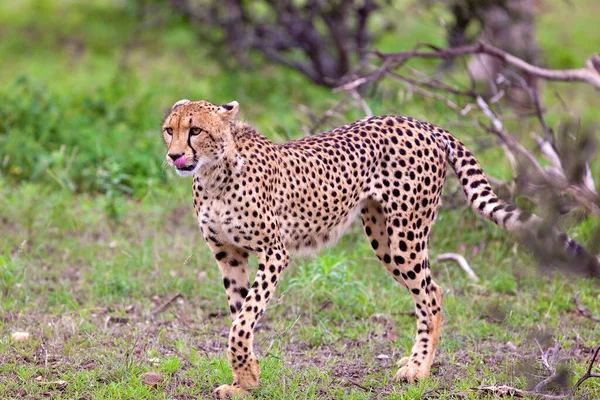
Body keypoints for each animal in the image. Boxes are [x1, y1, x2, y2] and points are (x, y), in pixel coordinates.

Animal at [162, 98, 596, 398]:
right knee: (431, 292)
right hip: (383, 238)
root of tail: (420, 122)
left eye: (195, 131)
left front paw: (246, 375)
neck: (213, 174)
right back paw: (415, 359)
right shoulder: (228, 254)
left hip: (406, 236)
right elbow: (239, 317)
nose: (174, 155)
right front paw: (245, 379)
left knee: (432, 294)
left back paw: (418, 370)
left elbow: (242, 321)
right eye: (169, 130)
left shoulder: (274, 251)